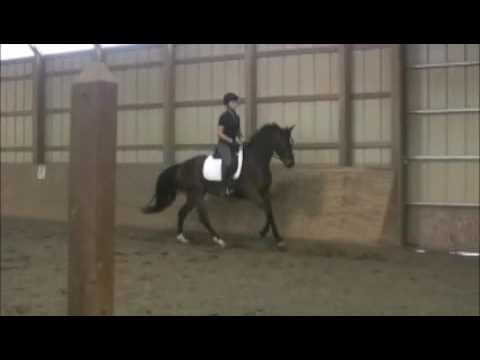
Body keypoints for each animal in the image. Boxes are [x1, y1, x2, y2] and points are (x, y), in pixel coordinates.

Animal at [141, 122, 294, 249]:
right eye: (282, 142)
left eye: (290, 143)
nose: (290, 163)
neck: (255, 161)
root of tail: (181, 166)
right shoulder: (252, 193)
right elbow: (266, 210)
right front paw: (264, 233)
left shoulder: (264, 193)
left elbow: (270, 211)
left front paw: (278, 239)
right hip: (196, 193)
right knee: (202, 217)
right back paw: (219, 240)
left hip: (194, 195)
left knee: (182, 212)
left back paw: (182, 238)